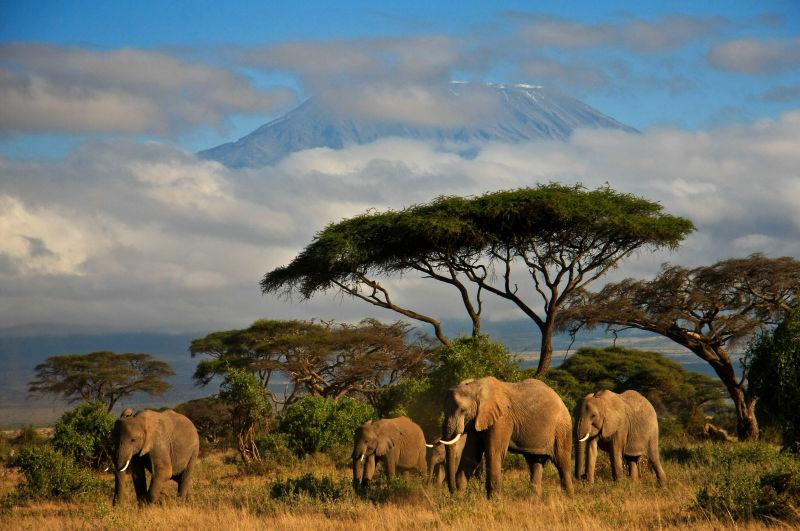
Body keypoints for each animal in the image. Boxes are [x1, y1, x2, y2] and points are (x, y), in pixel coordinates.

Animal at [440, 376, 574, 498]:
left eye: (463, 410)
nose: (452, 492)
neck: (476, 387)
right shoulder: (477, 420)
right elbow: (471, 455)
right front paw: (459, 498)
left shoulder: (502, 419)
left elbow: (494, 452)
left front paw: (494, 501)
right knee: (535, 462)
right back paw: (533, 501)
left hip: (562, 429)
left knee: (562, 462)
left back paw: (569, 498)